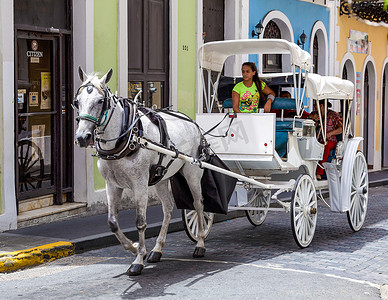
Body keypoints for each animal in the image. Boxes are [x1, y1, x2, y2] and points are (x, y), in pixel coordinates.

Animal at [73, 68, 206, 276]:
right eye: (77, 101)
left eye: (100, 101)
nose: (82, 137)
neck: (127, 137)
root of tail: (192, 122)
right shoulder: (112, 185)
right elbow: (112, 222)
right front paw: (134, 247)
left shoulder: (140, 184)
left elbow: (140, 222)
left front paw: (138, 259)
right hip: (161, 178)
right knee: (168, 208)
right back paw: (157, 249)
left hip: (192, 172)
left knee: (198, 204)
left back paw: (200, 243)